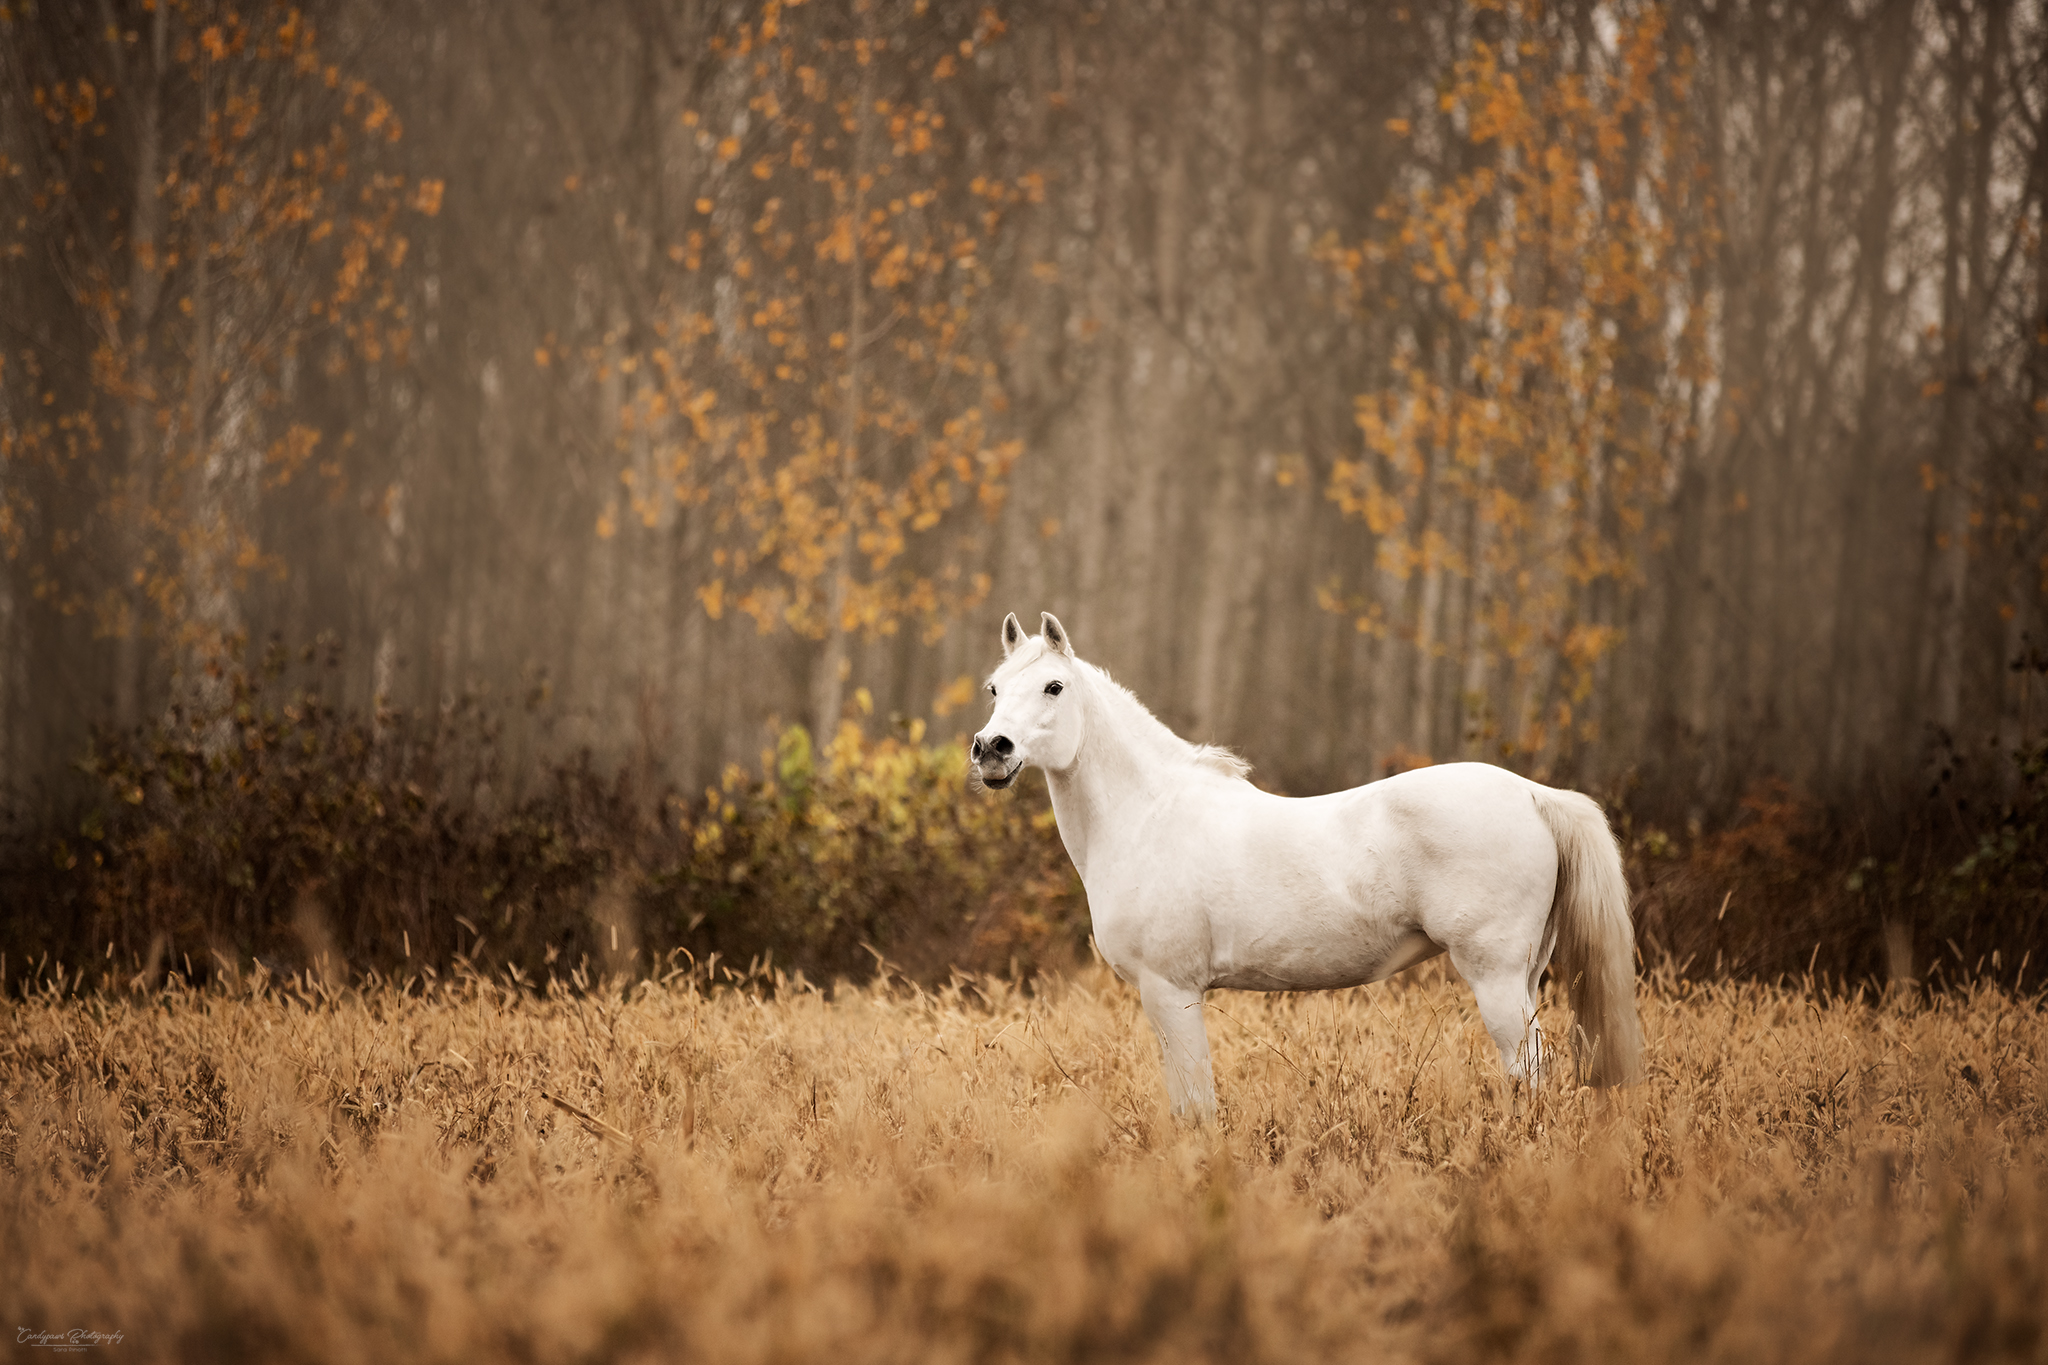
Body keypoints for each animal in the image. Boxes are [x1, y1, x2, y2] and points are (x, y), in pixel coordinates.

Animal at [969, 611, 1644, 1123]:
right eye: (995, 688)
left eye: (1054, 687)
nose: (991, 750)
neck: (1150, 816)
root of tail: (1533, 794)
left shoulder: (1172, 992)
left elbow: (1196, 1109)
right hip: (1525, 973)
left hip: (1496, 977)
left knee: (1527, 1071)